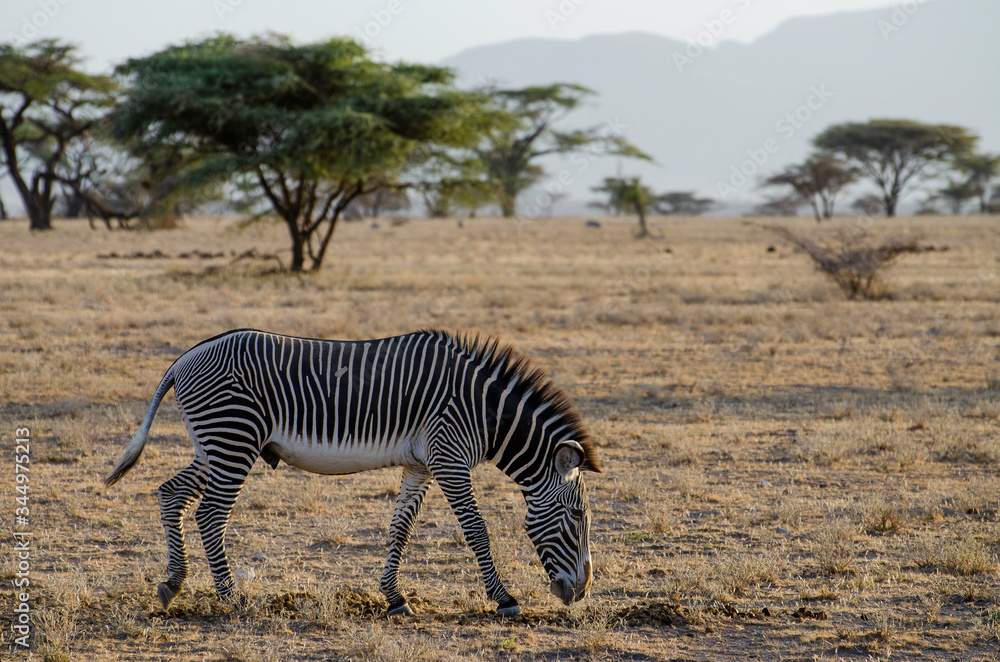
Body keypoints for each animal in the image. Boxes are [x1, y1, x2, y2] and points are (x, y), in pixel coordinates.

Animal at [104, 328, 601, 617]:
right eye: (578, 517)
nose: (582, 592)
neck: (485, 410)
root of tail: (183, 358)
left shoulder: (420, 463)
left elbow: (401, 528)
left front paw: (395, 599)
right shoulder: (449, 458)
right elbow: (477, 528)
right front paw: (504, 599)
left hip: (214, 445)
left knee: (171, 493)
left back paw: (172, 582)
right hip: (232, 441)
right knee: (209, 514)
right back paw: (231, 597)